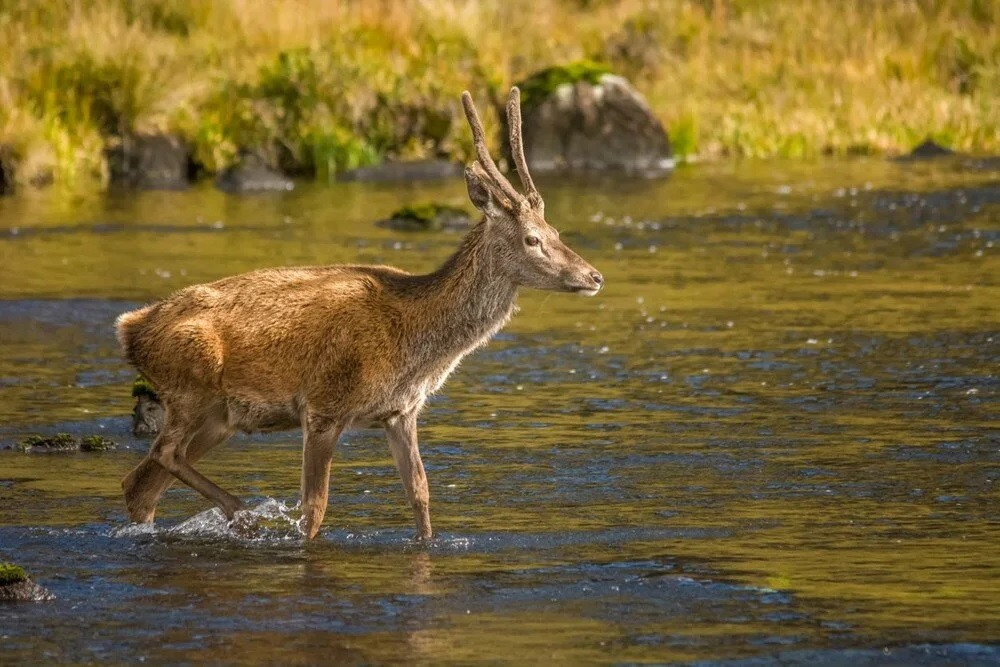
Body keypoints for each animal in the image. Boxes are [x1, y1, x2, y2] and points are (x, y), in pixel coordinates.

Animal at [115, 88, 600, 540]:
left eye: (556, 231)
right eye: (532, 239)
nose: (594, 276)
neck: (416, 343)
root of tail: (130, 329)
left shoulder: (401, 413)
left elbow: (420, 495)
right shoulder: (324, 407)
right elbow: (315, 509)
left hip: (220, 415)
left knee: (140, 483)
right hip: (190, 386)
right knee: (164, 455)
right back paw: (244, 513)